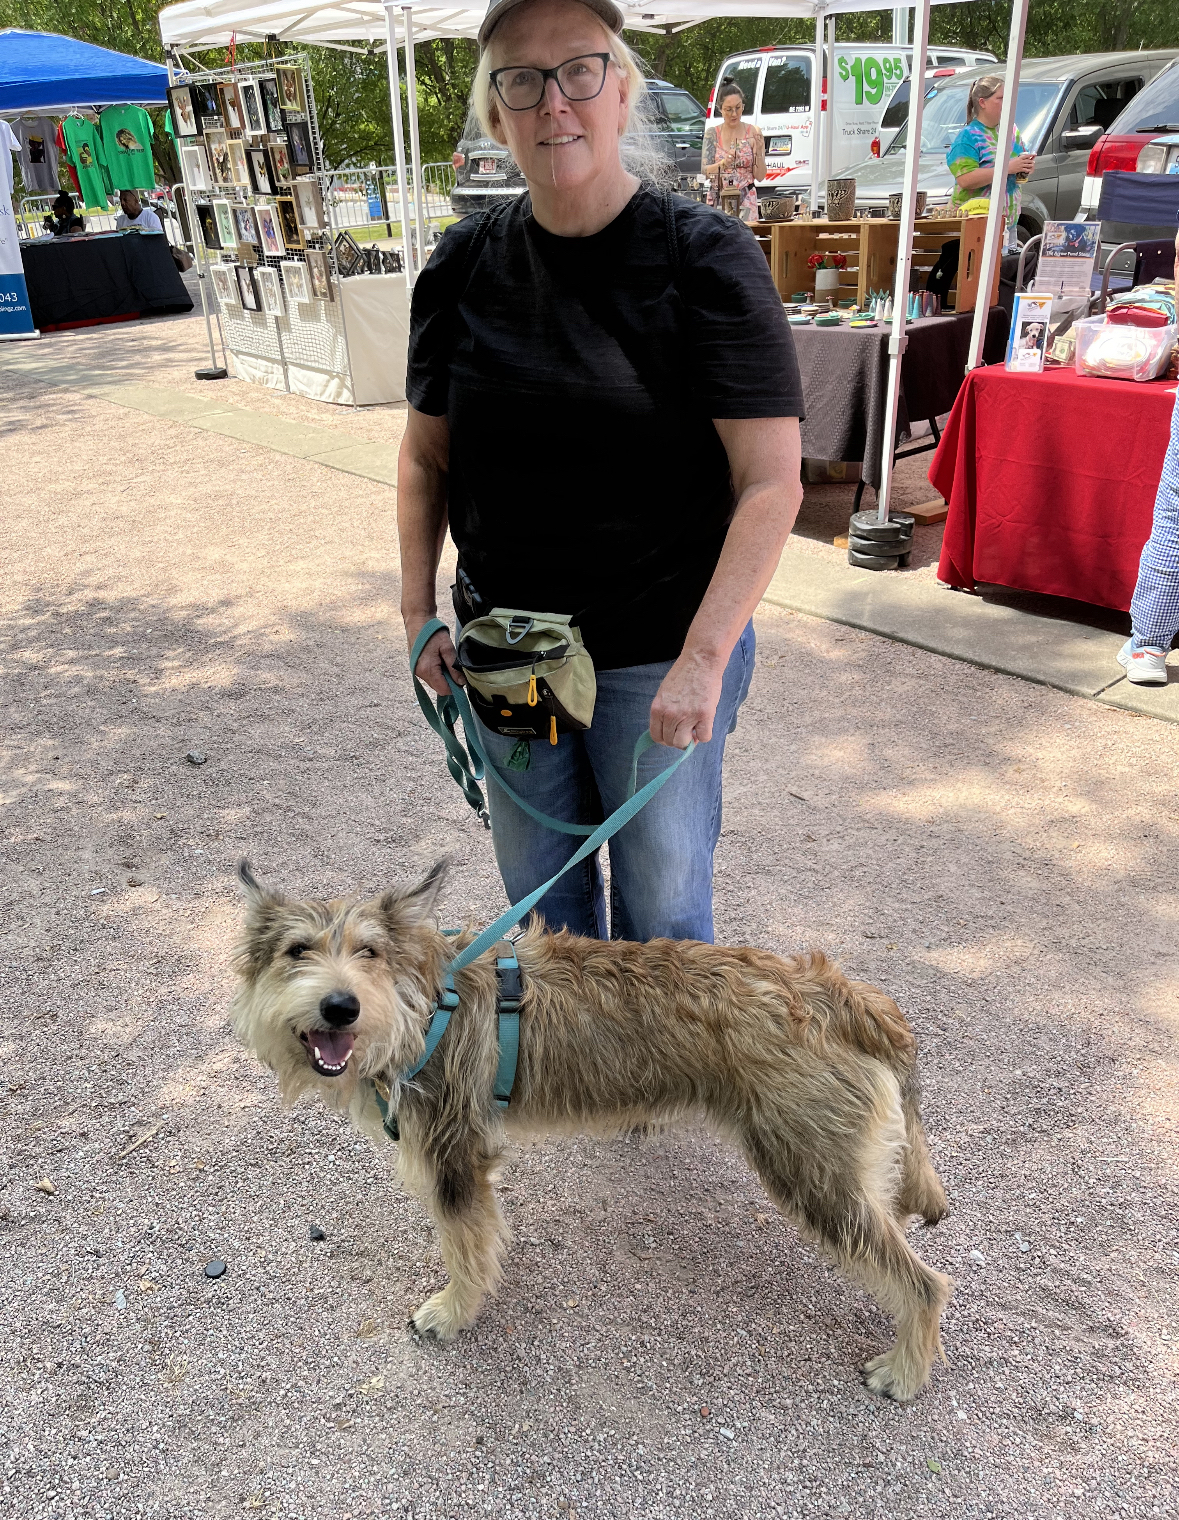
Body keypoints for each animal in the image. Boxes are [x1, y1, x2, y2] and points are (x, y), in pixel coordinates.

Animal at [227, 863, 948, 1404]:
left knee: (923, 1284)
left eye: (368, 952)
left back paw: (905, 1371)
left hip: (816, 1176)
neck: (425, 1002)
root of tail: (841, 995)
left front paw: (454, 1311)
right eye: (297, 952)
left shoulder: (455, 1161)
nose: (338, 1006)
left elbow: (464, 1249)